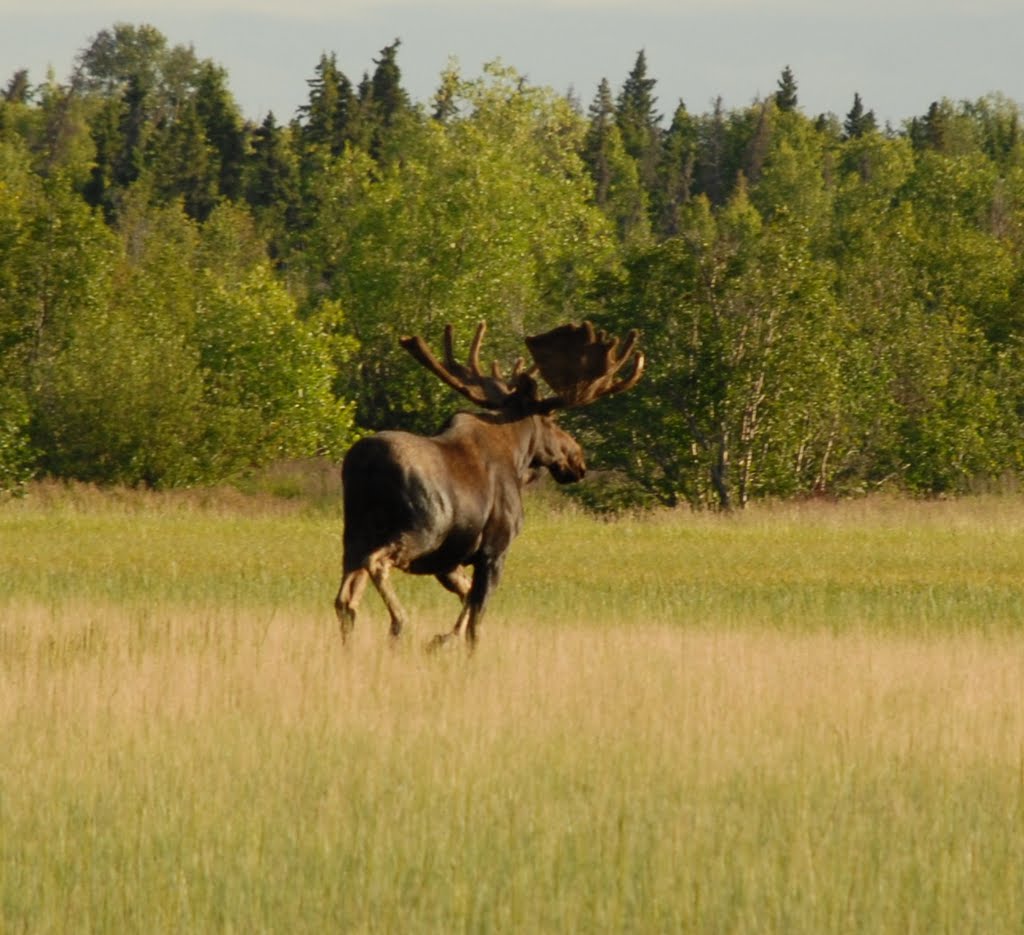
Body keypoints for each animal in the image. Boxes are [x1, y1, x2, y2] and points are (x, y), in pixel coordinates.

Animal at [333, 321, 638, 651]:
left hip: (355, 534)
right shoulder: (494, 548)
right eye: (551, 418)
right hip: (422, 529)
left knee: (346, 599)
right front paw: (453, 643)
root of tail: (364, 465)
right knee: (376, 563)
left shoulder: (450, 559)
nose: (577, 459)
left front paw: (442, 639)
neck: (518, 458)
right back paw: (399, 622)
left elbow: (466, 596)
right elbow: (476, 623)